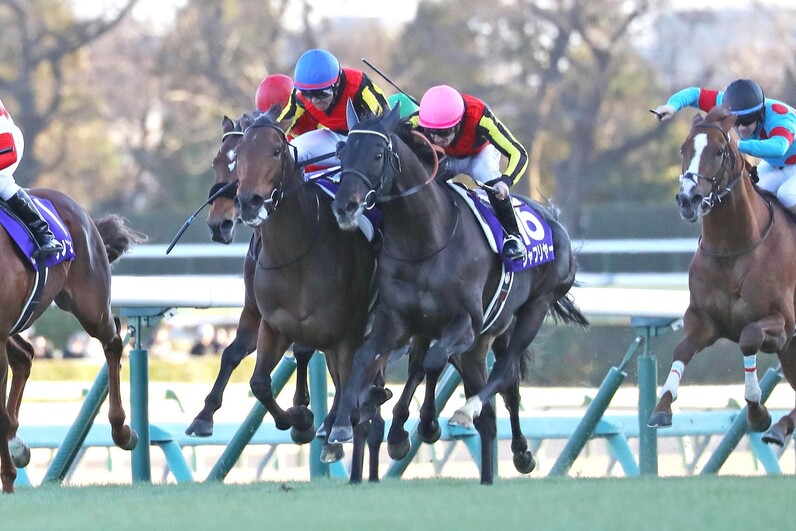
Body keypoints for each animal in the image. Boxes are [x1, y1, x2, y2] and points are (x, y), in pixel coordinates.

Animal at [0, 194, 144, 493]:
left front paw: (7, 481)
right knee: (25, 355)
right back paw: (15, 443)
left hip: (90, 306)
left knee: (113, 340)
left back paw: (122, 431)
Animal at [185, 113, 315, 440]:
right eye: (217, 161)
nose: (219, 225)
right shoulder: (256, 311)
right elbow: (231, 353)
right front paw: (204, 416)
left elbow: (305, 349)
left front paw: (302, 409)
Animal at [232, 108, 400, 482]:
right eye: (238, 156)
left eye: (276, 151)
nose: (249, 202)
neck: (296, 255)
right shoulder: (274, 326)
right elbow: (260, 383)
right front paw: (301, 421)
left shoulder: (348, 335)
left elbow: (351, 398)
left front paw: (323, 426)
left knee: (367, 409)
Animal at [329, 103, 588, 484]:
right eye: (341, 152)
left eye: (377, 154)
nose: (344, 207)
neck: (424, 238)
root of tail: (554, 221)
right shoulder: (398, 321)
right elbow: (368, 358)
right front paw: (344, 427)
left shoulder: (466, 322)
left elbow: (433, 362)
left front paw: (422, 424)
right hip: (487, 334)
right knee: (486, 392)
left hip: (533, 310)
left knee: (504, 373)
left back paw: (474, 417)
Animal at [649, 105, 796, 447]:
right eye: (683, 149)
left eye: (718, 151)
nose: (687, 199)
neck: (735, 247)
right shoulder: (704, 319)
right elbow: (682, 349)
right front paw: (661, 408)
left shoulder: (784, 324)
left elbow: (749, 337)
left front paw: (758, 412)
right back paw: (781, 428)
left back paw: (778, 426)